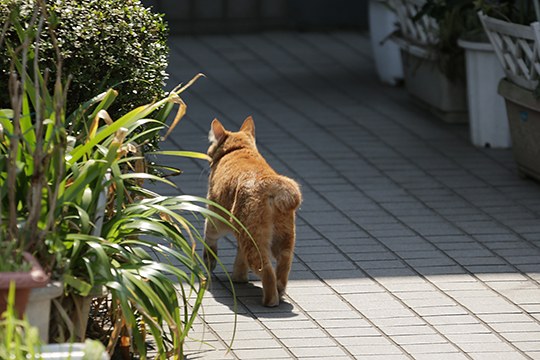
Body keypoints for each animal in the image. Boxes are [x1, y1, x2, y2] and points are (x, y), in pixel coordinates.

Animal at [205, 116, 302, 306]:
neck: (239, 148)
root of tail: (272, 183)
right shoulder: (239, 234)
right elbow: (239, 257)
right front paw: (239, 277)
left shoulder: (214, 216)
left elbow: (209, 242)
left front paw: (208, 263)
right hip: (283, 239)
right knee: (284, 265)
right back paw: (280, 291)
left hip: (253, 239)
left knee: (267, 270)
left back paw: (270, 301)